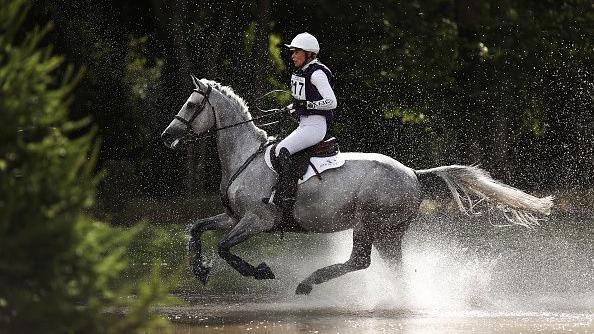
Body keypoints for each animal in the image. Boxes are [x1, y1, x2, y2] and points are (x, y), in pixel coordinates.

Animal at [161, 76, 552, 294]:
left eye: (192, 104)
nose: (167, 136)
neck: (246, 156)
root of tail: (413, 173)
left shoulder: (256, 220)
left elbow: (226, 248)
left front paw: (259, 271)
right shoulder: (234, 217)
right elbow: (196, 228)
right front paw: (199, 269)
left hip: (371, 222)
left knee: (361, 261)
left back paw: (309, 283)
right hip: (387, 230)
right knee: (384, 266)